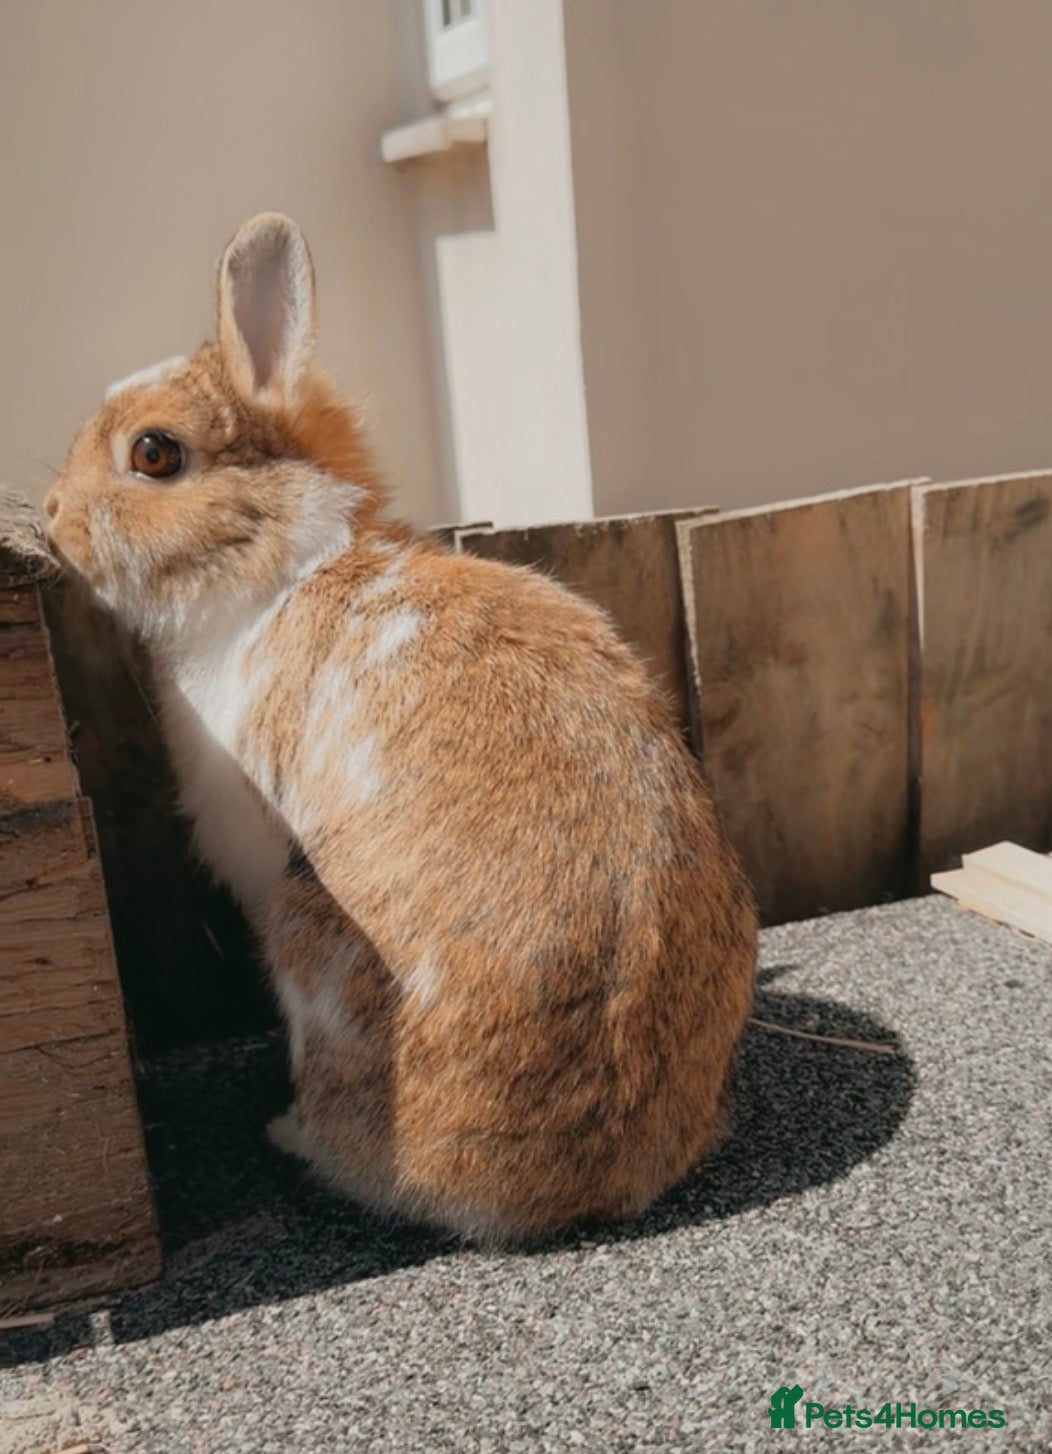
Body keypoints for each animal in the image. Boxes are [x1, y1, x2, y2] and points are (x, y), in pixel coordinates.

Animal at [44, 213, 757, 1241]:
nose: (52, 519)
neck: (285, 567)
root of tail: (560, 1189)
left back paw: (292, 1132)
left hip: (306, 939)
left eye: (154, 454)